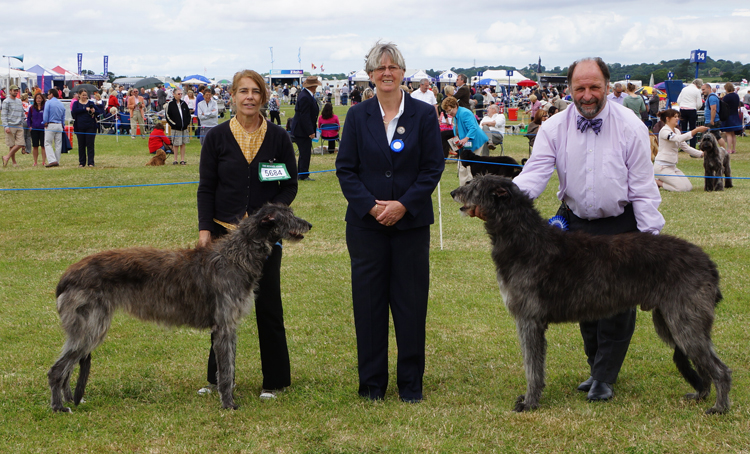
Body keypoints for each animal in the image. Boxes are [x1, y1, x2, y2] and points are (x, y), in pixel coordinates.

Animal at [47, 204, 312, 414]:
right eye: (289, 215)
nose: (309, 224)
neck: (237, 255)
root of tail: (65, 277)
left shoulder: (229, 327)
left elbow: (229, 365)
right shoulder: (224, 326)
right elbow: (226, 371)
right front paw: (228, 404)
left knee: (67, 366)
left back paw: (68, 399)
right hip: (92, 326)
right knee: (57, 370)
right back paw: (59, 407)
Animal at [452, 175, 736, 414]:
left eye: (474, 185)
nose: (454, 192)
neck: (524, 239)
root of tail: (709, 264)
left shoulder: (529, 320)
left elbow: (532, 368)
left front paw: (530, 402)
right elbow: (536, 365)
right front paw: (531, 399)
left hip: (684, 321)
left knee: (720, 369)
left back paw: (719, 407)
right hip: (670, 321)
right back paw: (701, 394)